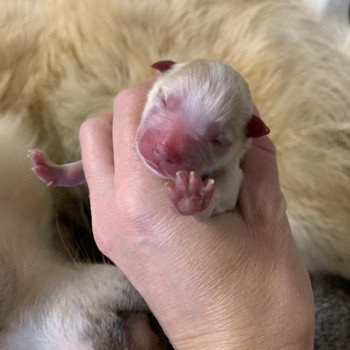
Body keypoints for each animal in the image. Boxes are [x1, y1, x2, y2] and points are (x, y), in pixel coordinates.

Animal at [28, 58, 270, 220]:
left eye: (217, 140)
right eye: (164, 101)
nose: (165, 148)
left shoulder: (233, 172)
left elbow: (223, 195)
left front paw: (191, 199)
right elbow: (82, 168)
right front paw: (54, 169)